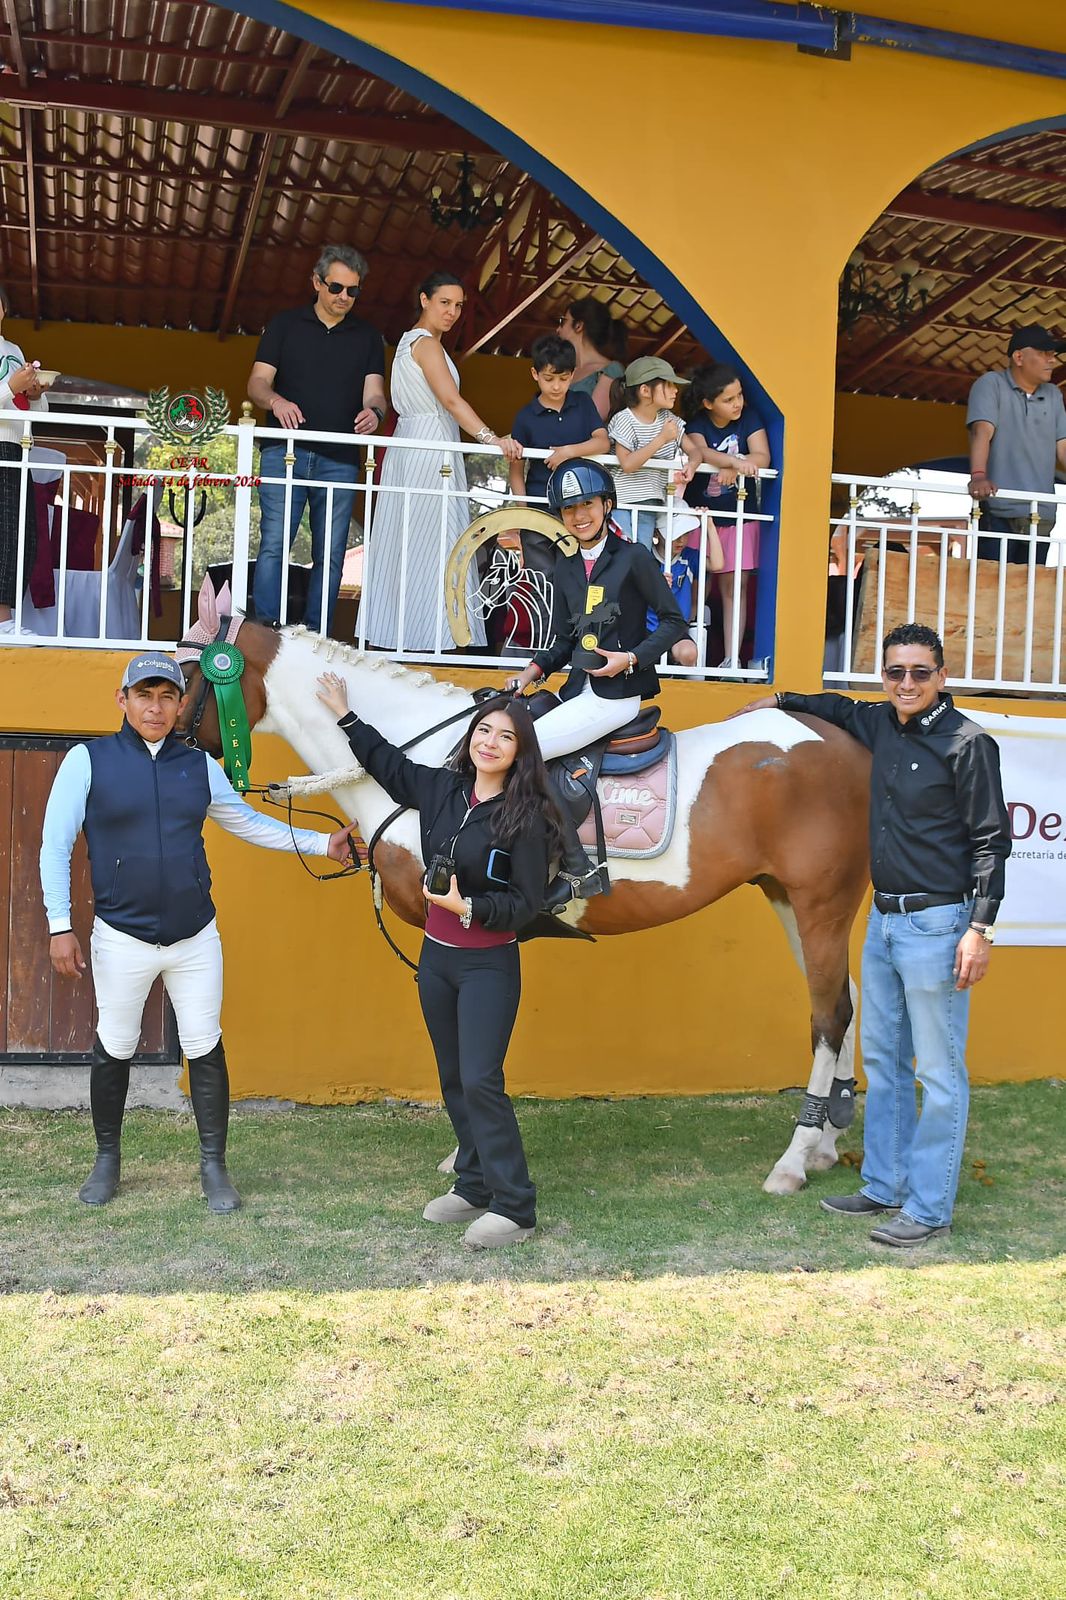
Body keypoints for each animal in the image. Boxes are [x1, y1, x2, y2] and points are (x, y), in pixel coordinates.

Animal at [177, 582, 872, 1195]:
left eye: (190, 675)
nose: (168, 738)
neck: (438, 763)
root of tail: (848, 745)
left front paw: (467, 1153)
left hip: (820, 900)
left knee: (829, 1013)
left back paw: (793, 1161)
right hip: (788, 896)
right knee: (846, 998)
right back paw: (827, 1145)